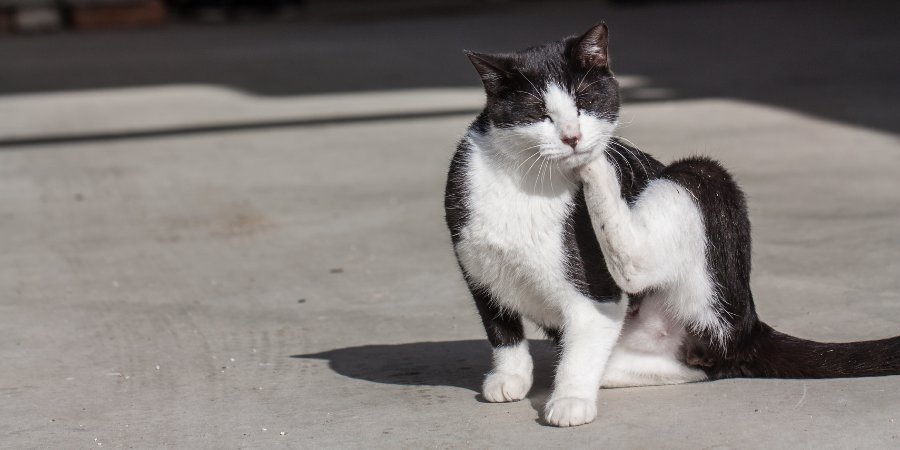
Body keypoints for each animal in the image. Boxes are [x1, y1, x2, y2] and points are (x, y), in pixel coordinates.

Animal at [442, 22, 900, 428]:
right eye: (539, 112)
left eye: (584, 101)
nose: (573, 137)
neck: (528, 179)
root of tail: (750, 326)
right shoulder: (474, 261)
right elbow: (501, 327)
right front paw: (509, 377)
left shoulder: (595, 293)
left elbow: (589, 326)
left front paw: (570, 400)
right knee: (694, 365)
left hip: (704, 187)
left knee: (642, 260)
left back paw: (600, 167)